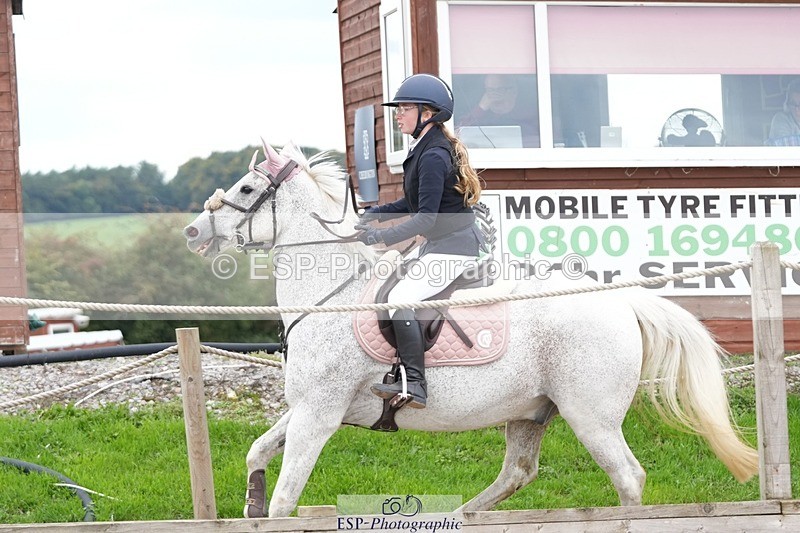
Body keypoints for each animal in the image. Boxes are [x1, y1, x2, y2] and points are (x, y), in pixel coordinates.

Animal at [183, 141, 758, 518]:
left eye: (247, 187)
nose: (193, 230)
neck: (331, 293)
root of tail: (617, 298)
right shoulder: (309, 407)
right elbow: (258, 453)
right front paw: (250, 504)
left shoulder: (318, 415)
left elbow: (286, 499)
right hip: (531, 410)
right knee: (518, 473)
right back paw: (464, 515)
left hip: (591, 415)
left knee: (627, 479)